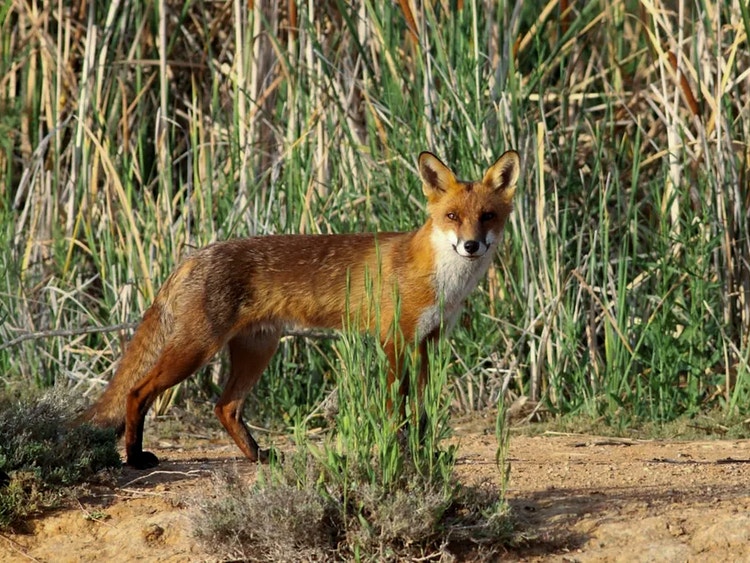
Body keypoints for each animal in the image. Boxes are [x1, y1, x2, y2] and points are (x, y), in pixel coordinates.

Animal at [83, 150, 520, 469]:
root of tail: (194, 256)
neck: (441, 282)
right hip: (194, 351)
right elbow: (395, 409)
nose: (471, 246)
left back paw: (258, 456)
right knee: (138, 392)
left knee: (225, 407)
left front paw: (423, 451)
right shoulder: (394, 342)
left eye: (487, 217)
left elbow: (422, 412)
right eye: (452, 217)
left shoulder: (428, 343)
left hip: (258, 350)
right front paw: (398, 453)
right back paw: (135, 458)